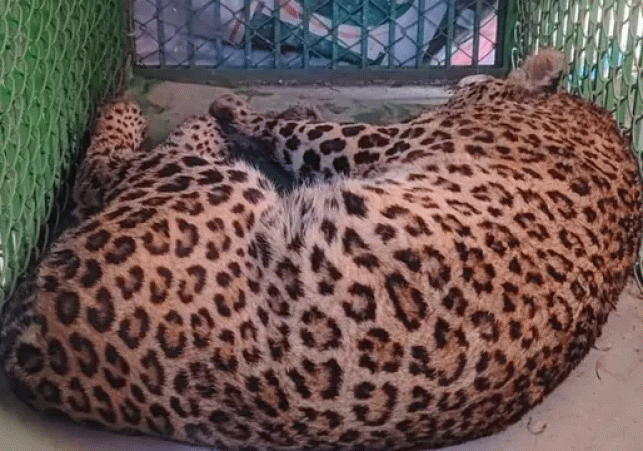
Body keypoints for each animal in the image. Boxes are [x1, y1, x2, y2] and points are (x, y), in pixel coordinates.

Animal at [1, 48, 641, 451]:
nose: (457, 84)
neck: (582, 112)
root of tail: (37, 358)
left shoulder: (383, 139)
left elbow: (300, 133)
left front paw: (245, 112)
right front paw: (285, 108)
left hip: (208, 186)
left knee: (100, 178)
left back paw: (152, 114)